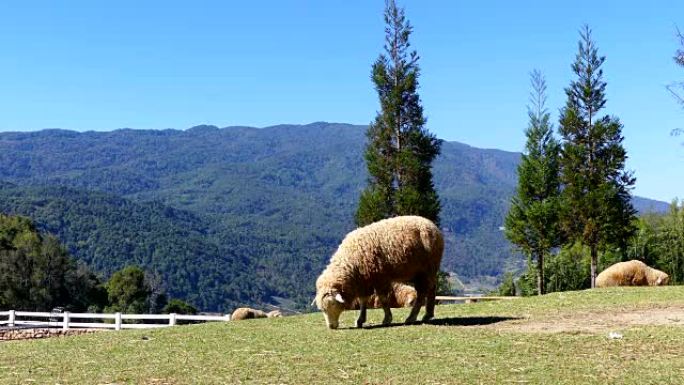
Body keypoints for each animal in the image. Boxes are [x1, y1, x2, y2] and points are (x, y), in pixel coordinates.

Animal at [314, 214, 444, 328]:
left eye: (332, 304)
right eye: (322, 309)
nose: (331, 327)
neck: (352, 263)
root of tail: (432, 225)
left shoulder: (380, 278)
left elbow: (383, 299)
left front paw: (387, 319)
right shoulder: (364, 280)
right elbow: (363, 301)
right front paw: (360, 320)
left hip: (426, 270)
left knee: (422, 293)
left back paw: (412, 317)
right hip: (421, 272)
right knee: (431, 289)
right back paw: (428, 315)